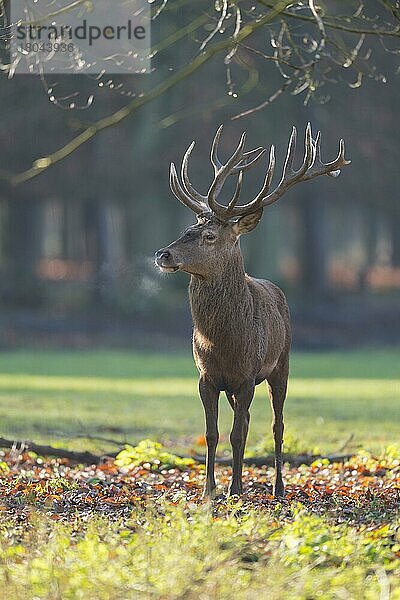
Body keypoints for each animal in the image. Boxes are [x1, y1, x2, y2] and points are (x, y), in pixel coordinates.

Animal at [155, 124, 348, 500]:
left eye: (209, 235)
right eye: (187, 228)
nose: (162, 254)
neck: (221, 342)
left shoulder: (247, 375)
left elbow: (237, 433)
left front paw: (234, 489)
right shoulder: (206, 377)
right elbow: (213, 434)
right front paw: (210, 490)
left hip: (282, 364)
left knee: (276, 424)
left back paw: (278, 488)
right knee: (246, 421)